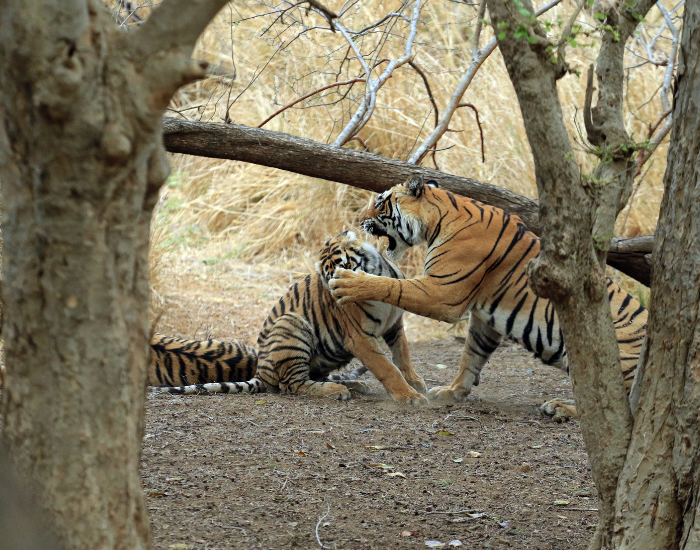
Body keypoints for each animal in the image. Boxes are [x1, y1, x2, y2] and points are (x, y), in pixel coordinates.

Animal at [150, 231, 428, 405]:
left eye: (344, 268)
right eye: (328, 277)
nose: (336, 292)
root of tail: (260, 371)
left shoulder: (395, 324)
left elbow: (403, 356)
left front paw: (415, 383)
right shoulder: (359, 338)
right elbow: (387, 367)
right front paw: (409, 397)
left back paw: (357, 385)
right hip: (292, 324)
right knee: (293, 384)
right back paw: (338, 390)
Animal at [329, 176, 648, 421]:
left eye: (380, 202)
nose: (358, 220)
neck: (437, 219)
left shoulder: (442, 292)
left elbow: (392, 285)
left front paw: (349, 282)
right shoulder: (486, 318)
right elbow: (471, 356)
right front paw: (452, 392)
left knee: (613, 404)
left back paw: (561, 408)